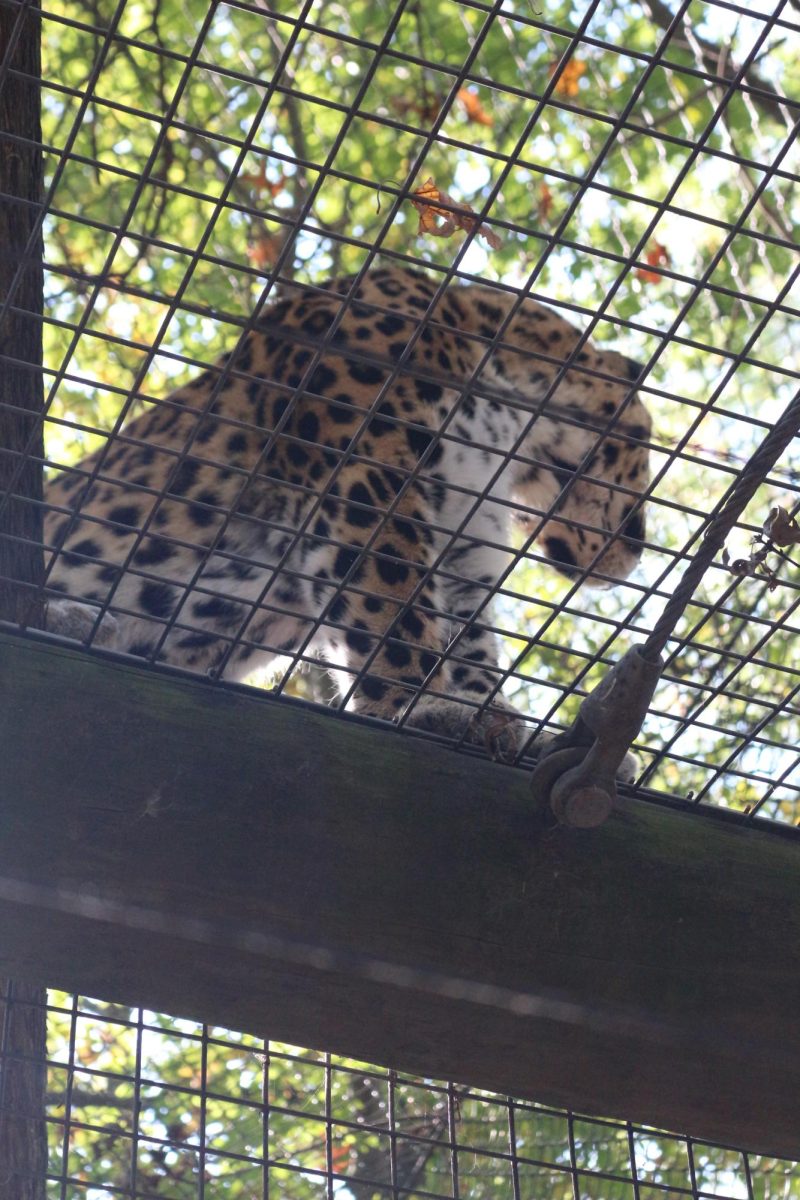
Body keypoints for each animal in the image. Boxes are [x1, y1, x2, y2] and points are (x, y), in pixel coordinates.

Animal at [42, 270, 652, 758]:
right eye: (647, 449)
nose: (636, 552)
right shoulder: (364, 472)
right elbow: (393, 607)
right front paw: (422, 708)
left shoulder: (464, 545)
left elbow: (471, 646)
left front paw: (497, 725)